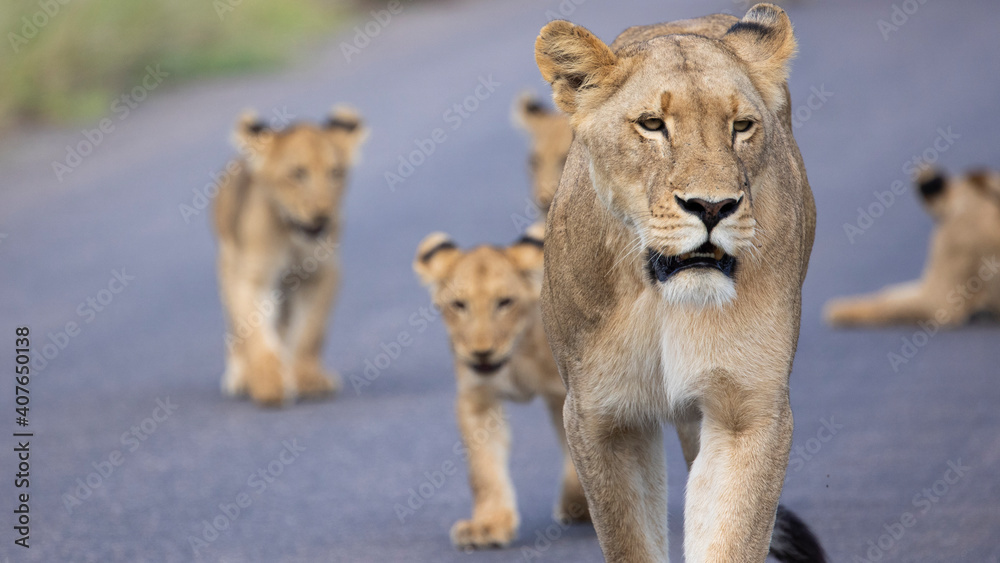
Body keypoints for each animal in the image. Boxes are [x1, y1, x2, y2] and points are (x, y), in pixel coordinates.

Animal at [213, 107, 368, 407]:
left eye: (335, 173)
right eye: (298, 174)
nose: (323, 215)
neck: (294, 236)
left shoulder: (321, 275)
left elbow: (309, 332)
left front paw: (308, 379)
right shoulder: (253, 279)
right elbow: (257, 336)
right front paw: (269, 384)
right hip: (229, 265)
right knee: (236, 330)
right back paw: (241, 376)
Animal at [413, 224, 589, 550]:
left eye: (505, 302)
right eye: (459, 305)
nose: (481, 353)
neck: (516, 354)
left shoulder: (568, 393)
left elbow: (576, 453)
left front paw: (579, 503)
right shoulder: (477, 399)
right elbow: (483, 469)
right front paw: (489, 525)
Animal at [534, 4, 825, 562]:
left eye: (742, 126)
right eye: (652, 125)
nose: (712, 207)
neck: (660, 297)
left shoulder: (750, 409)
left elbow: (732, 535)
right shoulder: (602, 417)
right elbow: (630, 541)